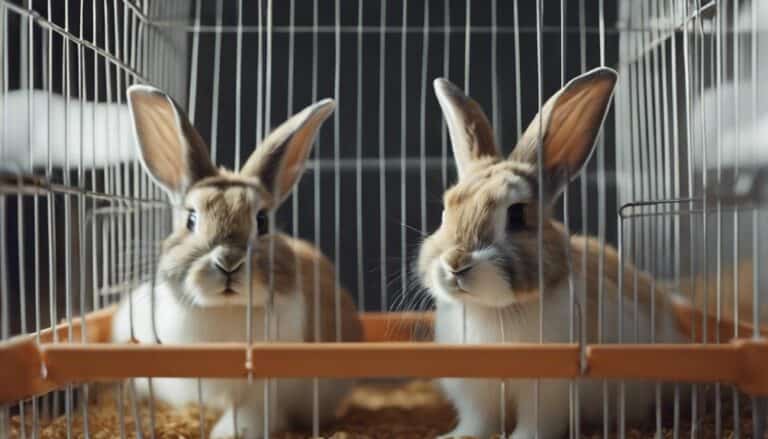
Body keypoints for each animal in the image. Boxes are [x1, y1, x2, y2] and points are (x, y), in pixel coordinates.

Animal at [111, 85, 363, 438]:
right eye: (191, 219)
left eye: (262, 221)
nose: (228, 263)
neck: (226, 309)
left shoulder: (264, 392)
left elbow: (250, 415)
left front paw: (229, 433)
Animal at [418, 68, 686, 439]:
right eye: (446, 211)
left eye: (517, 215)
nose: (456, 263)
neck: (494, 310)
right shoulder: (475, 391)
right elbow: (479, 421)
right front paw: (457, 436)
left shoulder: (547, 391)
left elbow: (536, 422)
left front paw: (521, 438)